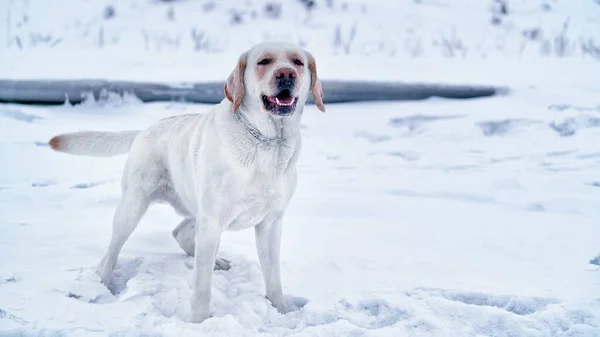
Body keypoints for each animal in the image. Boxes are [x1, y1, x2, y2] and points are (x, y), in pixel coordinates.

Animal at [49, 42, 326, 322]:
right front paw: (199, 322)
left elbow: (273, 279)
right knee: (110, 255)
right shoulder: (212, 220)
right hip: (134, 207)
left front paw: (282, 312)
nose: (286, 74)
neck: (267, 141)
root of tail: (145, 130)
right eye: (264, 61)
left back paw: (216, 260)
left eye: (298, 62)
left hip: (195, 206)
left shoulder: (270, 223)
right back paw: (104, 286)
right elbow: (202, 287)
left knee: (180, 232)